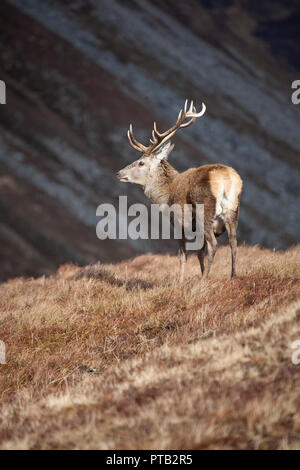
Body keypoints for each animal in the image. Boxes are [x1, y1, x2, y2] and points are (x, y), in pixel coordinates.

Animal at [118, 99, 244, 282]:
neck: (164, 196)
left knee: (214, 245)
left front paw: (180, 281)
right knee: (233, 241)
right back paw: (233, 276)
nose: (119, 173)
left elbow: (183, 255)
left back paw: (202, 282)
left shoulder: (178, 222)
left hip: (204, 211)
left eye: (141, 162)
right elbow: (199, 253)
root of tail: (226, 179)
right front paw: (200, 273)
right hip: (233, 210)